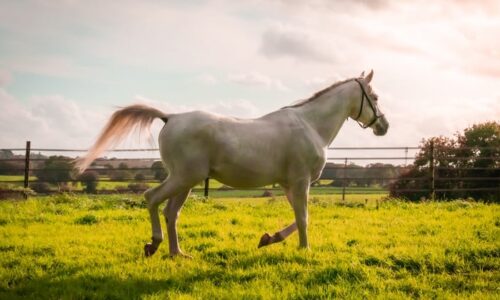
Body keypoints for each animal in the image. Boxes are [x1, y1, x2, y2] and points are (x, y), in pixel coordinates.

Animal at [76, 70, 388, 258]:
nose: (383, 126)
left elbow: (297, 219)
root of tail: (170, 117)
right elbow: (304, 218)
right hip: (183, 178)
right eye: (374, 97)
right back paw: (154, 244)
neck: (310, 125)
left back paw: (178, 254)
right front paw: (304, 249)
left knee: (170, 212)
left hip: (185, 182)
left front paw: (268, 238)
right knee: (152, 198)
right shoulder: (300, 183)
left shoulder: (290, 185)